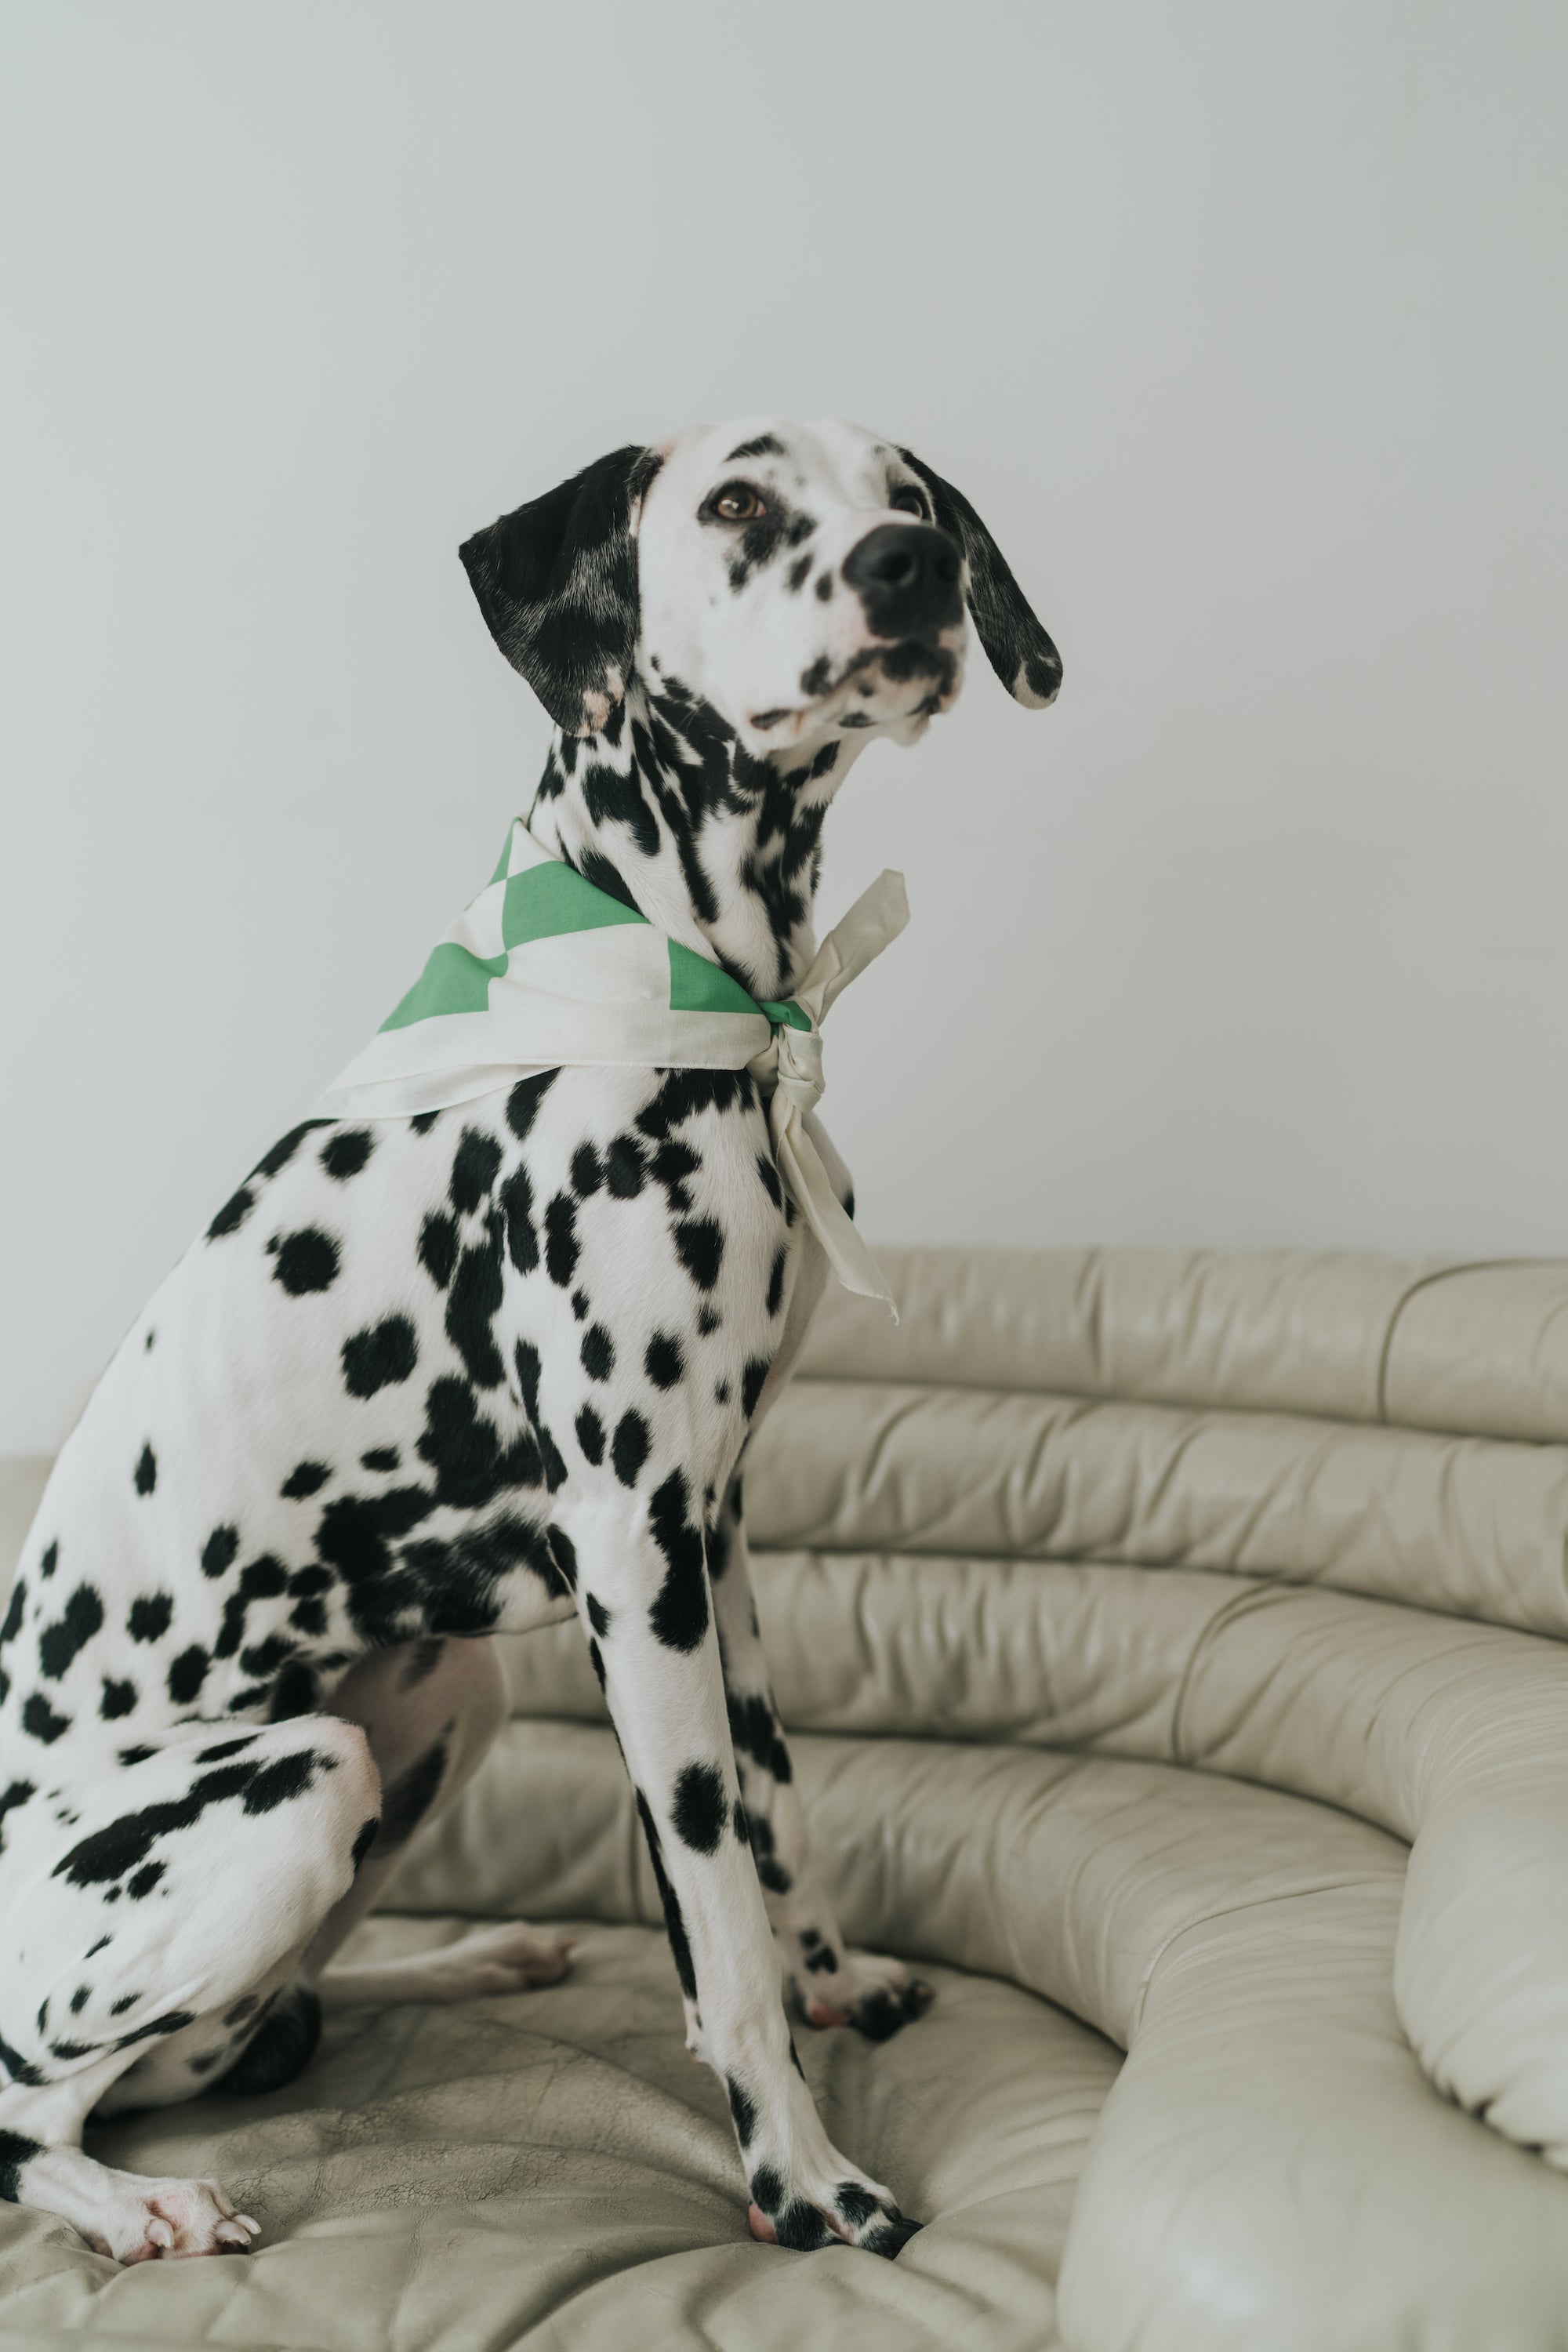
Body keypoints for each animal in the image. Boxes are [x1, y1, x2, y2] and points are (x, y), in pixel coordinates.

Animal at [0, 419, 1067, 2258]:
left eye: (913, 500)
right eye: (736, 500)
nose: (909, 571)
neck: (705, 1007)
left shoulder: (715, 1533)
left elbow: (776, 1814)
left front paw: (836, 1982)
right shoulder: (634, 1553)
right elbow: (713, 1915)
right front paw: (804, 2181)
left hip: (440, 1696)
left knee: (254, 2021)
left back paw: (464, 1959)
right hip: (293, 1781)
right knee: (33, 2102)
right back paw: (137, 2205)